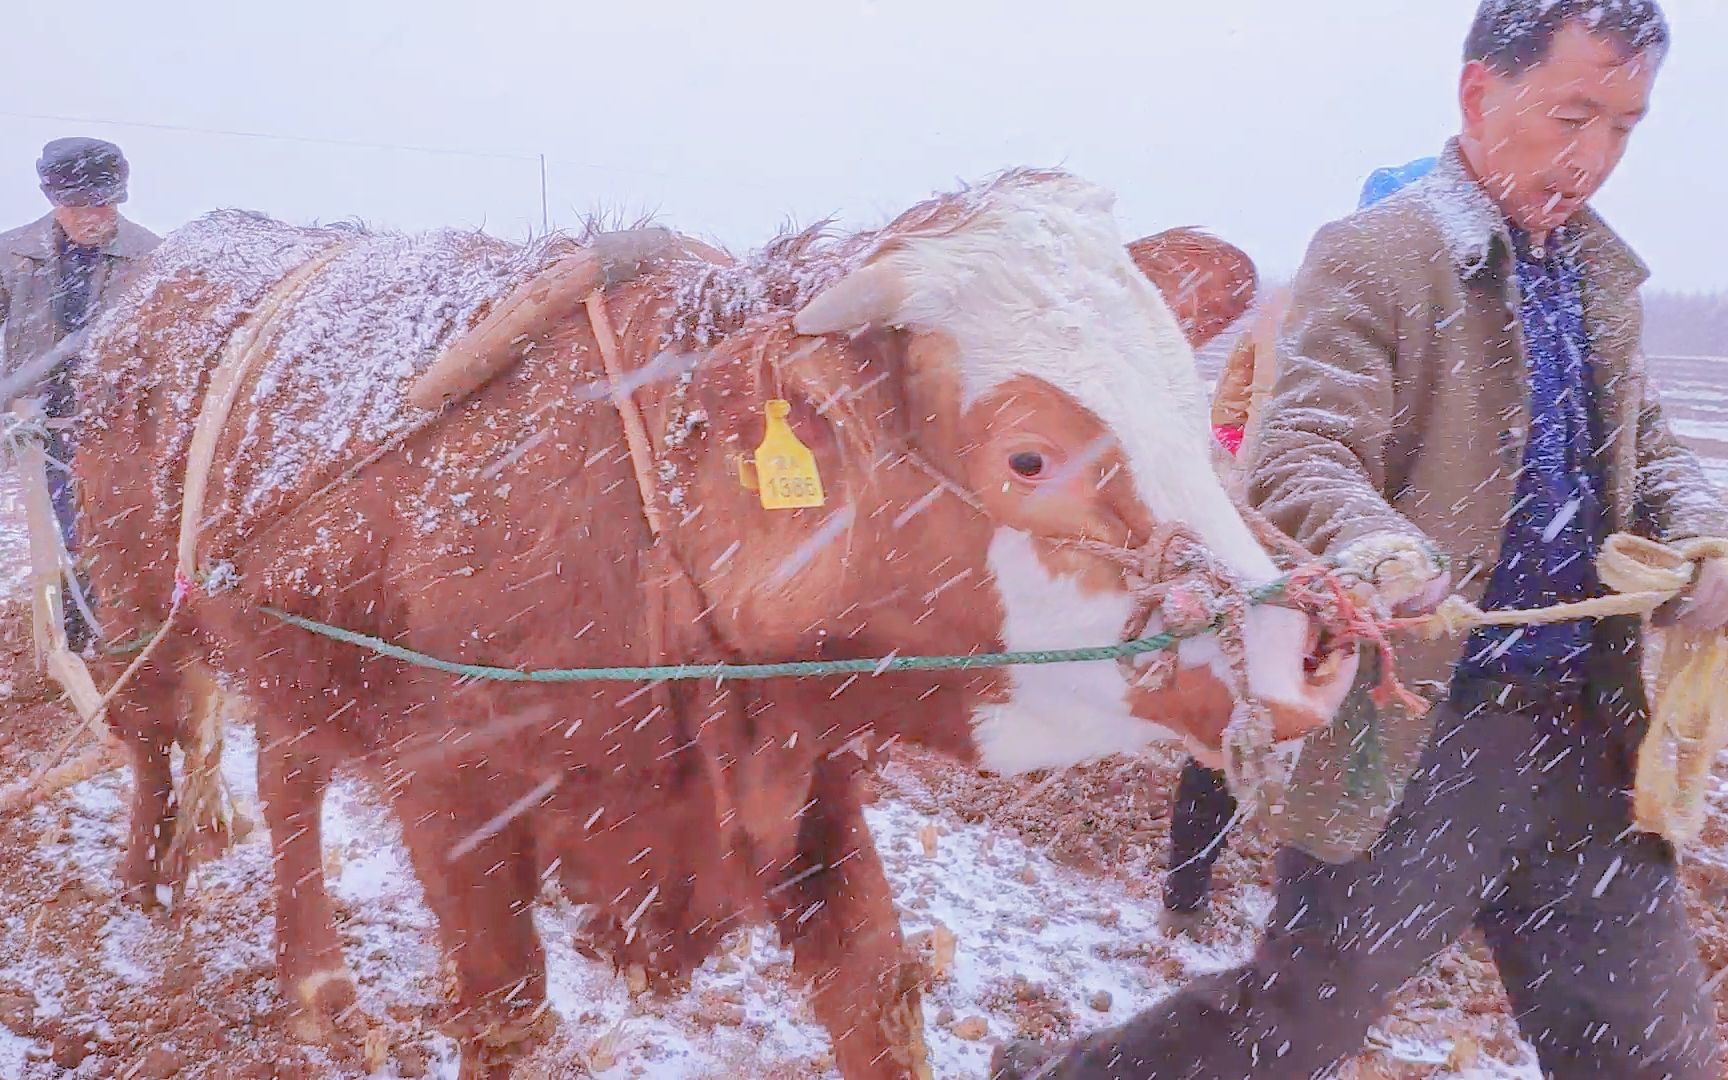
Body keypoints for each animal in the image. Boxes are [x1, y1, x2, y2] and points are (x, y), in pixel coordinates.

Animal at [74, 172, 1354, 1071]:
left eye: (1191, 402)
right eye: (1028, 456)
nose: (1304, 649)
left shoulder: (810, 780)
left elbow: (875, 994)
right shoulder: (454, 797)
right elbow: (503, 1010)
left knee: (287, 770)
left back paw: (316, 985)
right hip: (141, 598)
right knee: (152, 728)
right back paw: (147, 888)